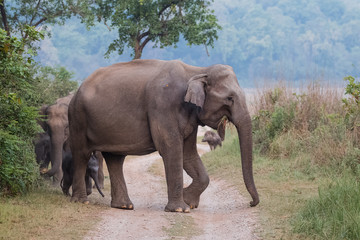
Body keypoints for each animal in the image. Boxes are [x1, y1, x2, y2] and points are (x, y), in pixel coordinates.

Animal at [67, 59, 258, 212]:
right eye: (230, 98)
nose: (251, 203)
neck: (197, 70)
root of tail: (76, 91)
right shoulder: (163, 107)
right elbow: (170, 150)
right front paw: (181, 209)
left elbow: (188, 154)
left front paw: (188, 201)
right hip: (77, 117)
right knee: (82, 154)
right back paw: (81, 201)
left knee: (115, 159)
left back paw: (124, 206)